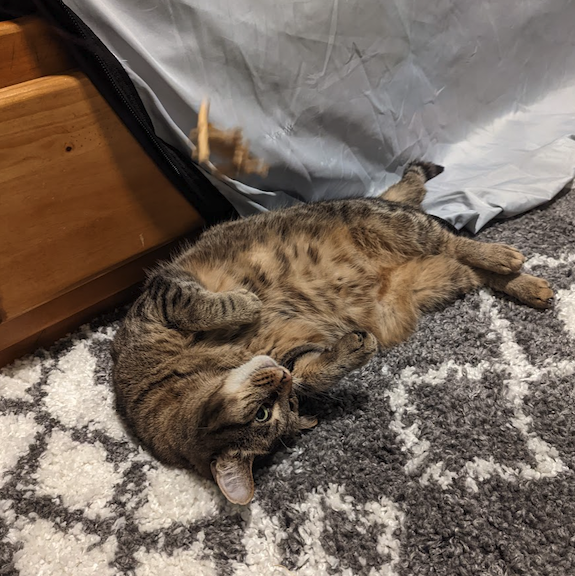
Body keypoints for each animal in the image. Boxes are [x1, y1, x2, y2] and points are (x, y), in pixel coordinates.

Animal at [110, 163, 556, 504]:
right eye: (270, 412)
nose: (280, 379)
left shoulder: (161, 297)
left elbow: (205, 305)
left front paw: (247, 304)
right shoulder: (290, 351)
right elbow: (311, 371)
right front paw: (348, 353)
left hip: (393, 225)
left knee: (457, 241)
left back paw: (504, 255)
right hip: (432, 280)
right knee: (470, 268)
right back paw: (530, 286)